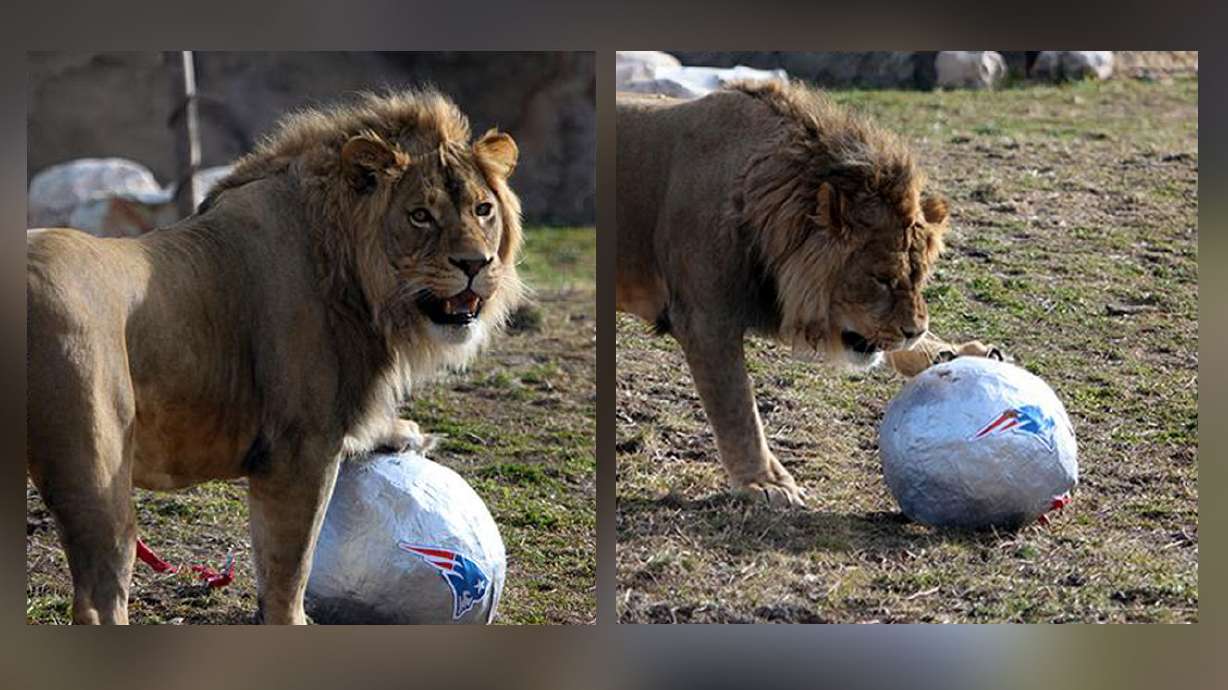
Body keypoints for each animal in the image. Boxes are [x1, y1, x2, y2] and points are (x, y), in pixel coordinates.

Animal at [26, 89, 525, 624]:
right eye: (420, 215)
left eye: (483, 209)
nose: (475, 264)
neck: (354, 278)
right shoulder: (299, 450)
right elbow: (289, 567)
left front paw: (403, 431)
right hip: (97, 480)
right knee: (99, 599)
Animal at [617, 81, 953, 506]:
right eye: (881, 279)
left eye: (920, 275)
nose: (914, 331)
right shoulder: (705, 320)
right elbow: (738, 408)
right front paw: (766, 483)